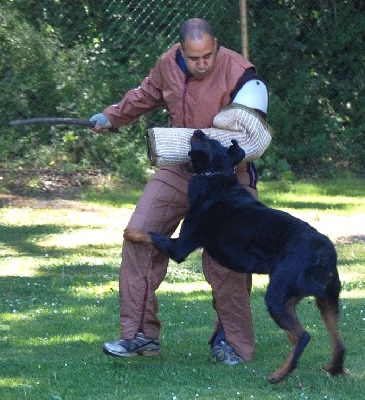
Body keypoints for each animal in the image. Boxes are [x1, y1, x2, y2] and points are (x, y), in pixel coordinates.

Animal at [125, 130, 344, 382]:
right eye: (212, 139)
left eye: (204, 141)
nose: (197, 131)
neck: (217, 176)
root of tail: (324, 251)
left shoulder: (180, 246)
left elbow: (150, 234)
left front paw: (129, 232)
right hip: (327, 299)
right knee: (338, 340)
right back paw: (335, 369)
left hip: (278, 296)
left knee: (301, 336)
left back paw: (280, 374)